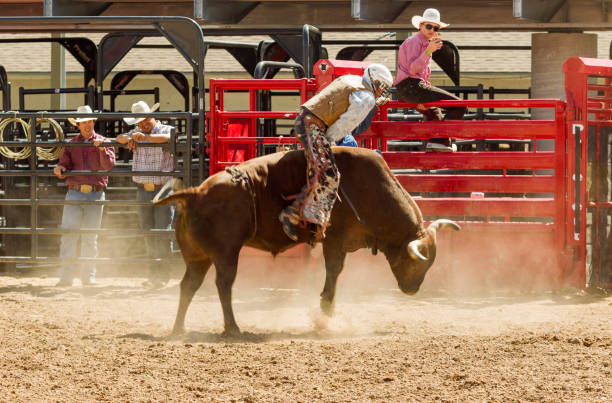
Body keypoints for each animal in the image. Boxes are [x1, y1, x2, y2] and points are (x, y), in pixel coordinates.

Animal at [158, 147, 460, 336]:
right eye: (416, 264)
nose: (413, 289)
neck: (370, 188)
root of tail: (195, 192)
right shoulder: (334, 241)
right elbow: (333, 272)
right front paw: (326, 314)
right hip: (226, 253)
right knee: (223, 284)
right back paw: (232, 328)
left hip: (198, 257)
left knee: (189, 285)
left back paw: (179, 329)